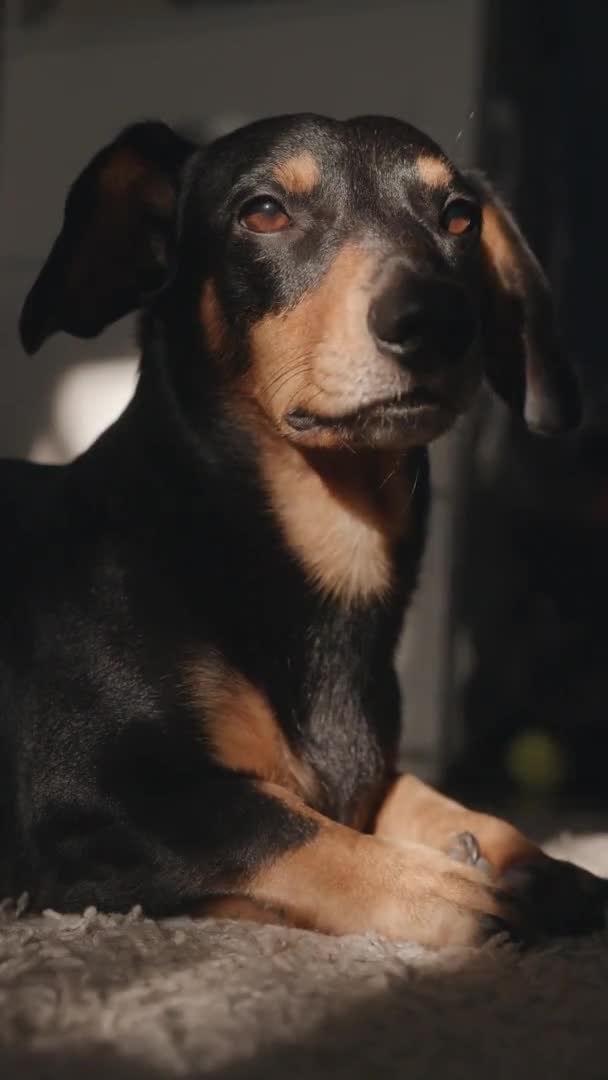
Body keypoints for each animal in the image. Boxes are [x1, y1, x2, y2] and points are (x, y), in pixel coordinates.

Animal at [0, 113, 604, 950]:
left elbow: (421, 795)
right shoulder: (82, 798)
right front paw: (441, 887)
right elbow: (270, 817)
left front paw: (532, 862)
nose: (437, 319)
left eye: (459, 217)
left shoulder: (374, 772)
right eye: (263, 212)